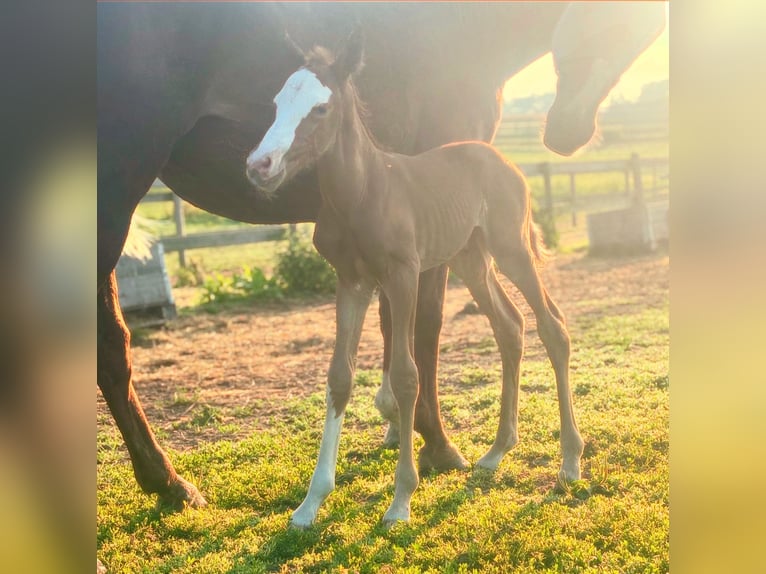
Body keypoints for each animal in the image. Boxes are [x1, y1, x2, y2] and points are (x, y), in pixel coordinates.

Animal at [97, 2, 665, 510]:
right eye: (275, 103)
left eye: (320, 108)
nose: (566, 132)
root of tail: (505, 163)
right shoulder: (367, 272)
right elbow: (383, 352)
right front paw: (412, 446)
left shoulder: (402, 264)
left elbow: (405, 344)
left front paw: (410, 443)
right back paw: (170, 484)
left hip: (493, 250)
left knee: (539, 326)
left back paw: (555, 458)